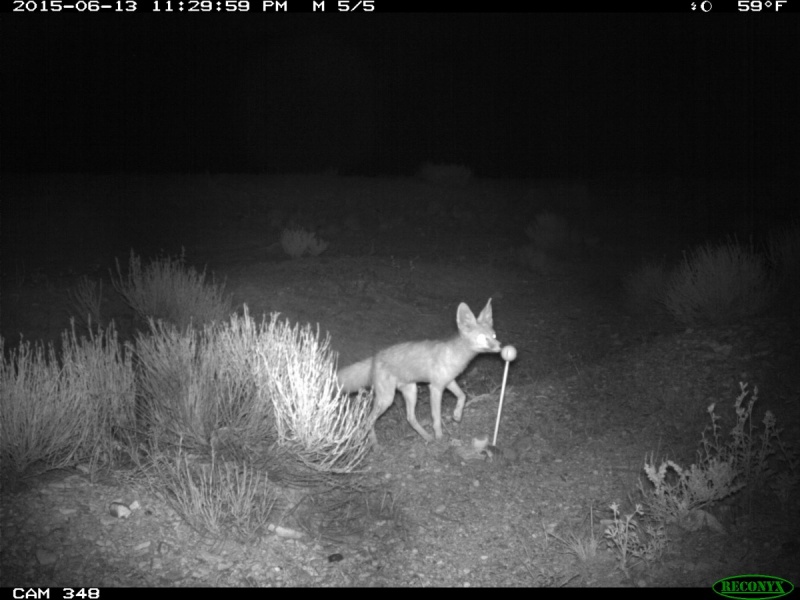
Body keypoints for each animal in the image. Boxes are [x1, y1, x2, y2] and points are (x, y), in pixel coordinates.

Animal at [338, 300, 500, 446]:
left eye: (494, 336)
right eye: (483, 338)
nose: (500, 347)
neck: (454, 356)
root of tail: (374, 358)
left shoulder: (448, 381)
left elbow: (462, 396)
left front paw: (457, 415)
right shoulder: (435, 388)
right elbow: (436, 417)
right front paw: (440, 437)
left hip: (411, 391)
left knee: (410, 418)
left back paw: (426, 437)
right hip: (387, 399)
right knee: (368, 420)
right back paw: (374, 444)